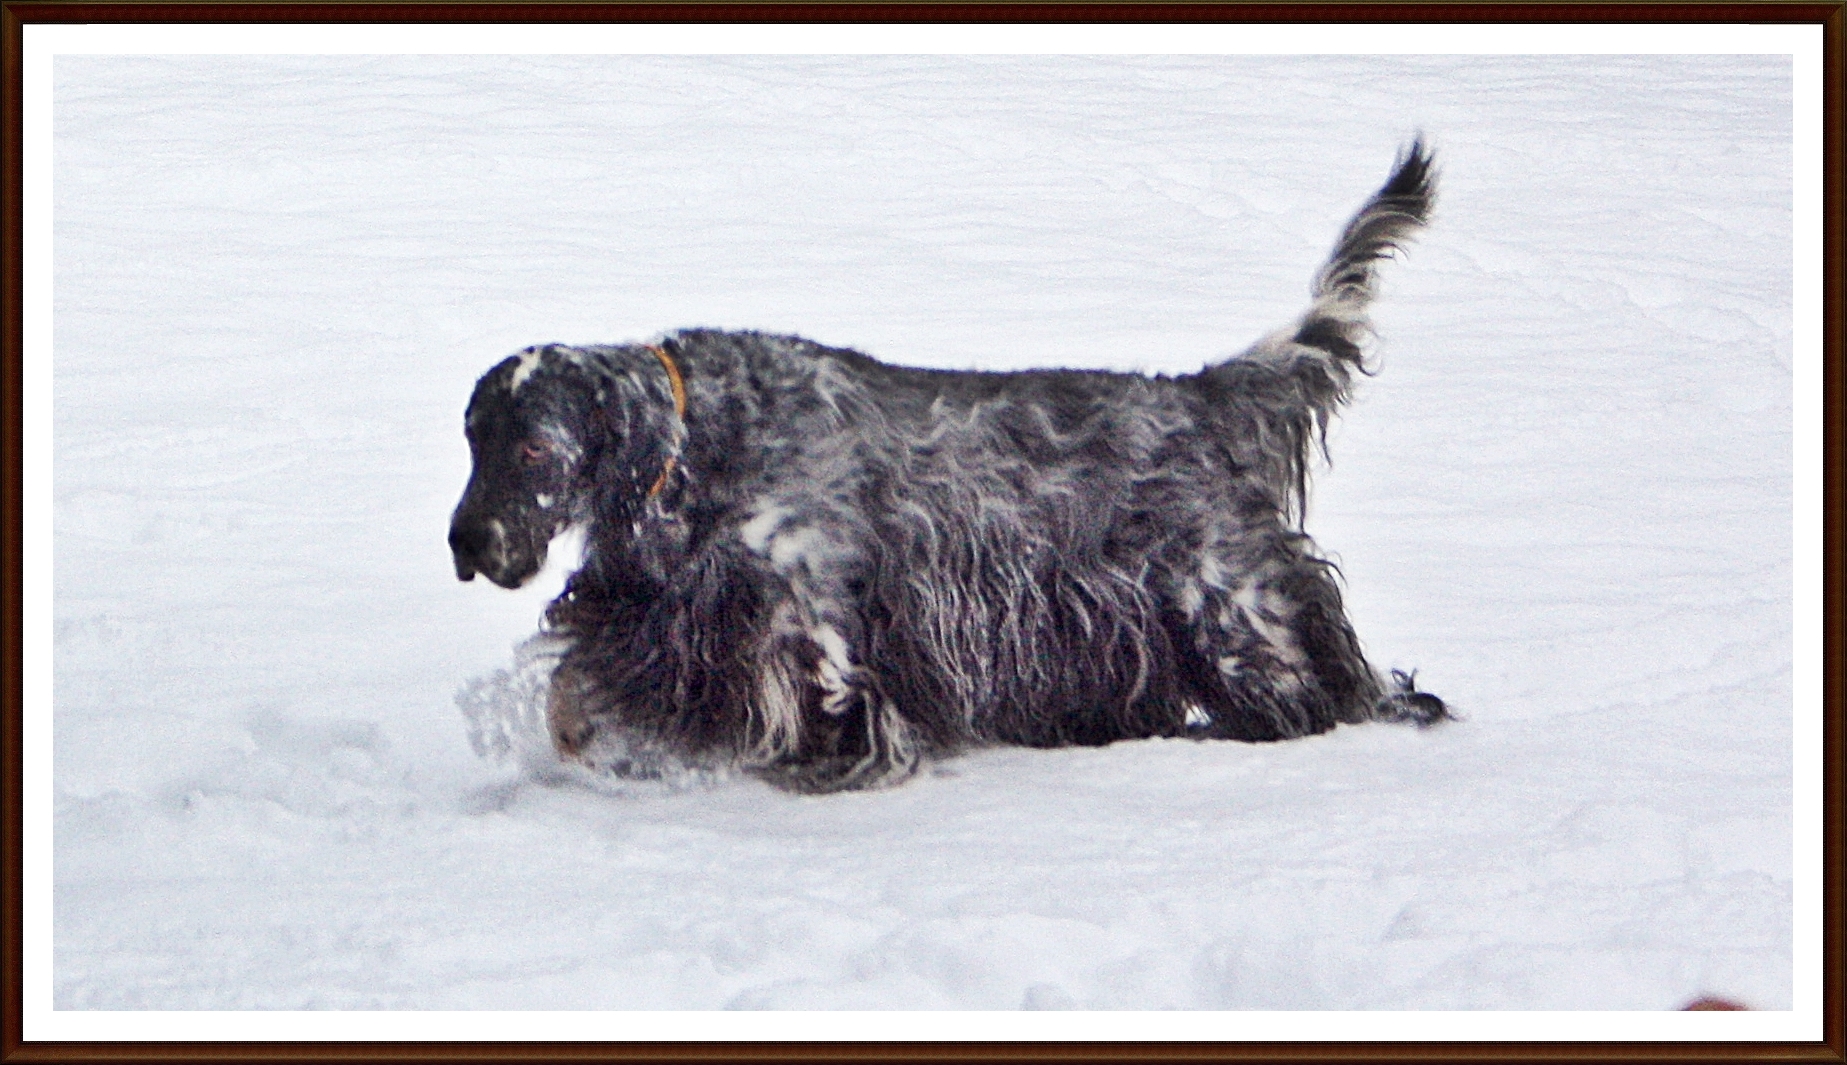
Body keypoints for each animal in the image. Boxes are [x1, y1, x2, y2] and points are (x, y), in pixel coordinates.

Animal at [449, 140, 1447, 792]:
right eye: (470, 441)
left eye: (532, 446)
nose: (467, 541)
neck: (698, 446)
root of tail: (1203, 397)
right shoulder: (654, 617)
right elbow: (577, 695)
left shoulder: (810, 627)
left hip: (1233, 613)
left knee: (1338, 693)